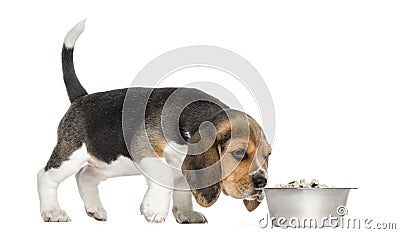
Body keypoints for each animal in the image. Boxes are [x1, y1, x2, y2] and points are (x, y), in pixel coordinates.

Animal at [37, 20, 272, 223]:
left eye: (267, 155)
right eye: (239, 153)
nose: (262, 182)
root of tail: (81, 97)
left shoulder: (184, 168)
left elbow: (183, 190)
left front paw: (186, 214)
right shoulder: (144, 149)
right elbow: (164, 174)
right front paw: (155, 208)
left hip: (112, 162)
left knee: (85, 175)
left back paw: (95, 209)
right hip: (71, 155)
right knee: (45, 176)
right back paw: (53, 211)